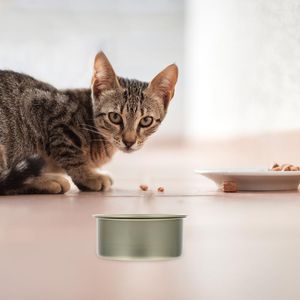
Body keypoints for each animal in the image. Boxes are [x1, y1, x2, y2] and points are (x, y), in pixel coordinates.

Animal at [0, 51, 178, 195]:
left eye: (146, 120)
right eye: (115, 117)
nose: (129, 141)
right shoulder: (43, 107)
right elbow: (71, 154)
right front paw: (88, 176)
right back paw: (48, 181)